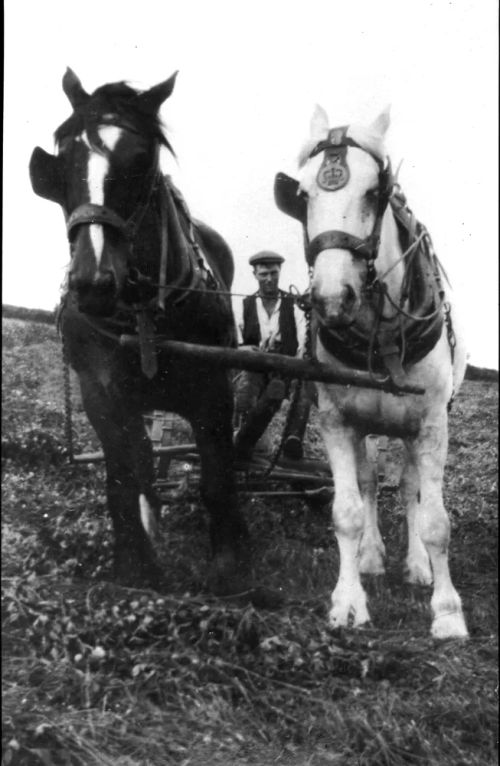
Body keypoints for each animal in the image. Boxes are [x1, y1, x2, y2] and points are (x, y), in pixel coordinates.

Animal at [28, 70, 250, 592]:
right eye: (64, 154)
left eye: (142, 159)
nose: (93, 281)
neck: (142, 313)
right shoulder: (101, 394)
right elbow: (123, 477)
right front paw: (136, 564)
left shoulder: (213, 390)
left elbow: (218, 477)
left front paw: (229, 566)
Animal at [276, 105, 466, 640]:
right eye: (303, 195)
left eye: (374, 192)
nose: (331, 299)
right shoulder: (337, 423)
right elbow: (347, 511)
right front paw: (348, 600)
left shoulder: (432, 424)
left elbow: (435, 518)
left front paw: (447, 611)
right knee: (368, 483)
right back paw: (372, 556)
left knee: (408, 486)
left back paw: (417, 565)